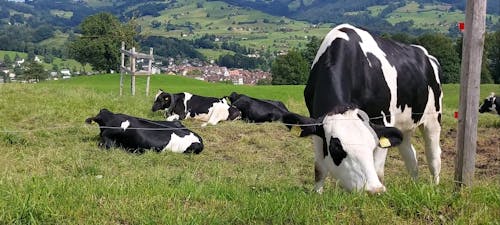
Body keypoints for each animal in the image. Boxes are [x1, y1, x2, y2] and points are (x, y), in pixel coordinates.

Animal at [284, 23, 444, 194]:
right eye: (336, 148)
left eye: (372, 145)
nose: (374, 190)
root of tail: (427, 55)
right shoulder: (316, 123)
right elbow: (319, 169)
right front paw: (318, 194)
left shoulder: (383, 121)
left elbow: (378, 169)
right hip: (405, 124)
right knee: (410, 154)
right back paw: (415, 185)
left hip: (433, 118)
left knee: (433, 155)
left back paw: (435, 187)